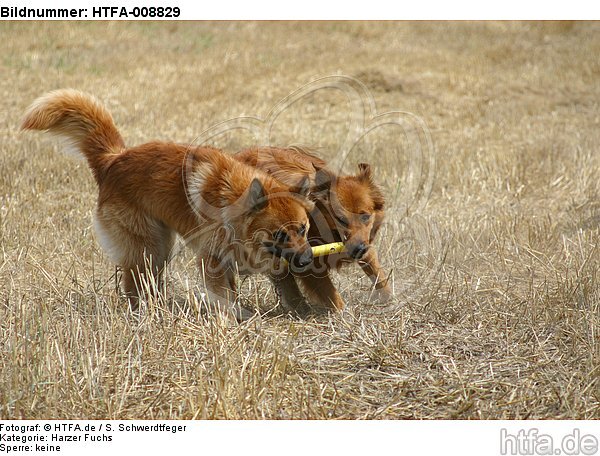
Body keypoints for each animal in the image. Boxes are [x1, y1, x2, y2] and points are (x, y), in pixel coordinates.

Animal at [22, 90, 314, 320]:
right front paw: (238, 318)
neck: (231, 202)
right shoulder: (212, 260)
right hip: (146, 249)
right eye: (279, 234)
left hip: (160, 246)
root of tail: (113, 160)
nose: (308, 259)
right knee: (134, 286)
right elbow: (225, 297)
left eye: (303, 229)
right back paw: (144, 314)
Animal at [232, 146, 392, 314]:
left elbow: (377, 272)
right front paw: (342, 314)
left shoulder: (365, 243)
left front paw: (388, 298)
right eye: (341, 219)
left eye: (366, 217)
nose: (359, 249)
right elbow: (331, 294)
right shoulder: (309, 264)